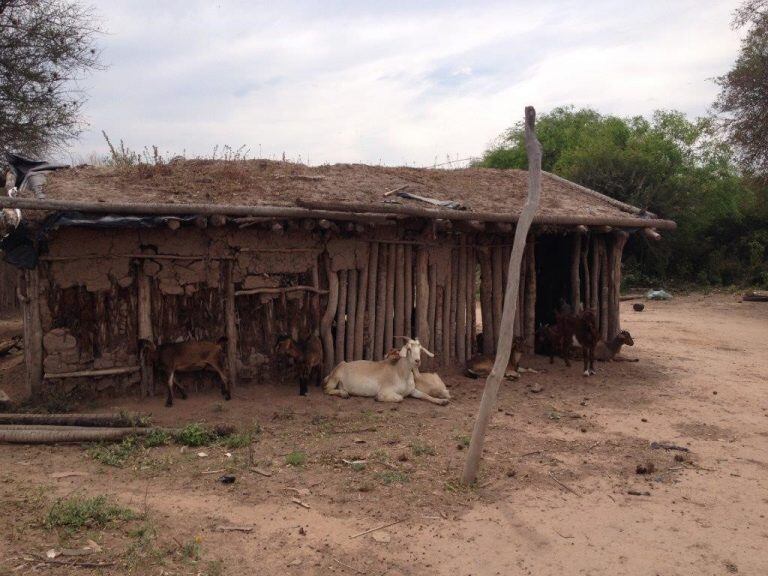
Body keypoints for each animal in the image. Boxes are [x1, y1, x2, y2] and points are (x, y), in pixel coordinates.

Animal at [320, 338, 448, 404]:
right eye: (409, 349)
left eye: (420, 350)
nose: (417, 361)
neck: (400, 373)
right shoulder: (386, 390)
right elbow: (400, 398)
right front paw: (377, 398)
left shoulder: (412, 390)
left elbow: (424, 395)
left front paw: (442, 401)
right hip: (335, 377)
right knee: (326, 389)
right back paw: (344, 394)